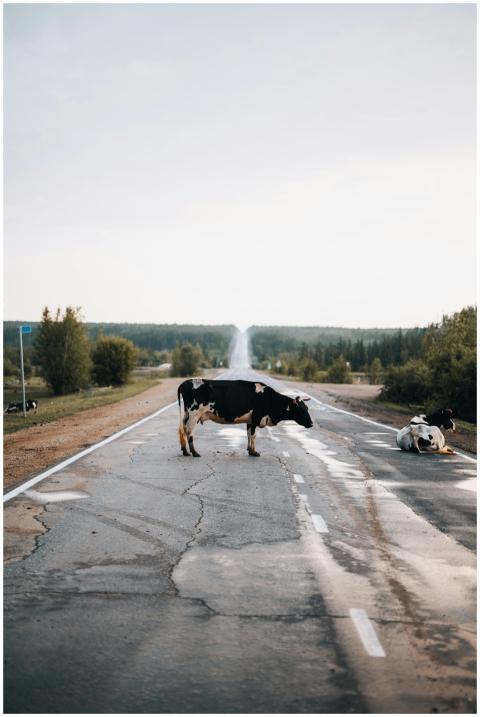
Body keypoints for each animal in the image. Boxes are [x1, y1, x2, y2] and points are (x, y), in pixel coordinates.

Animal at [177, 378, 313, 457]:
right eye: (301, 410)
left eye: (307, 408)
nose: (311, 424)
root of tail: (185, 382)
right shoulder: (256, 417)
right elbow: (253, 435)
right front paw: (254, 452)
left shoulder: (250, 420)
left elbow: (248, 434)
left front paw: (249, 450)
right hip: (194, 414)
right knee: (189, 431)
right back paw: (194, 452)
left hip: (187, 414)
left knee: (181, 429)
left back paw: (185, 451)